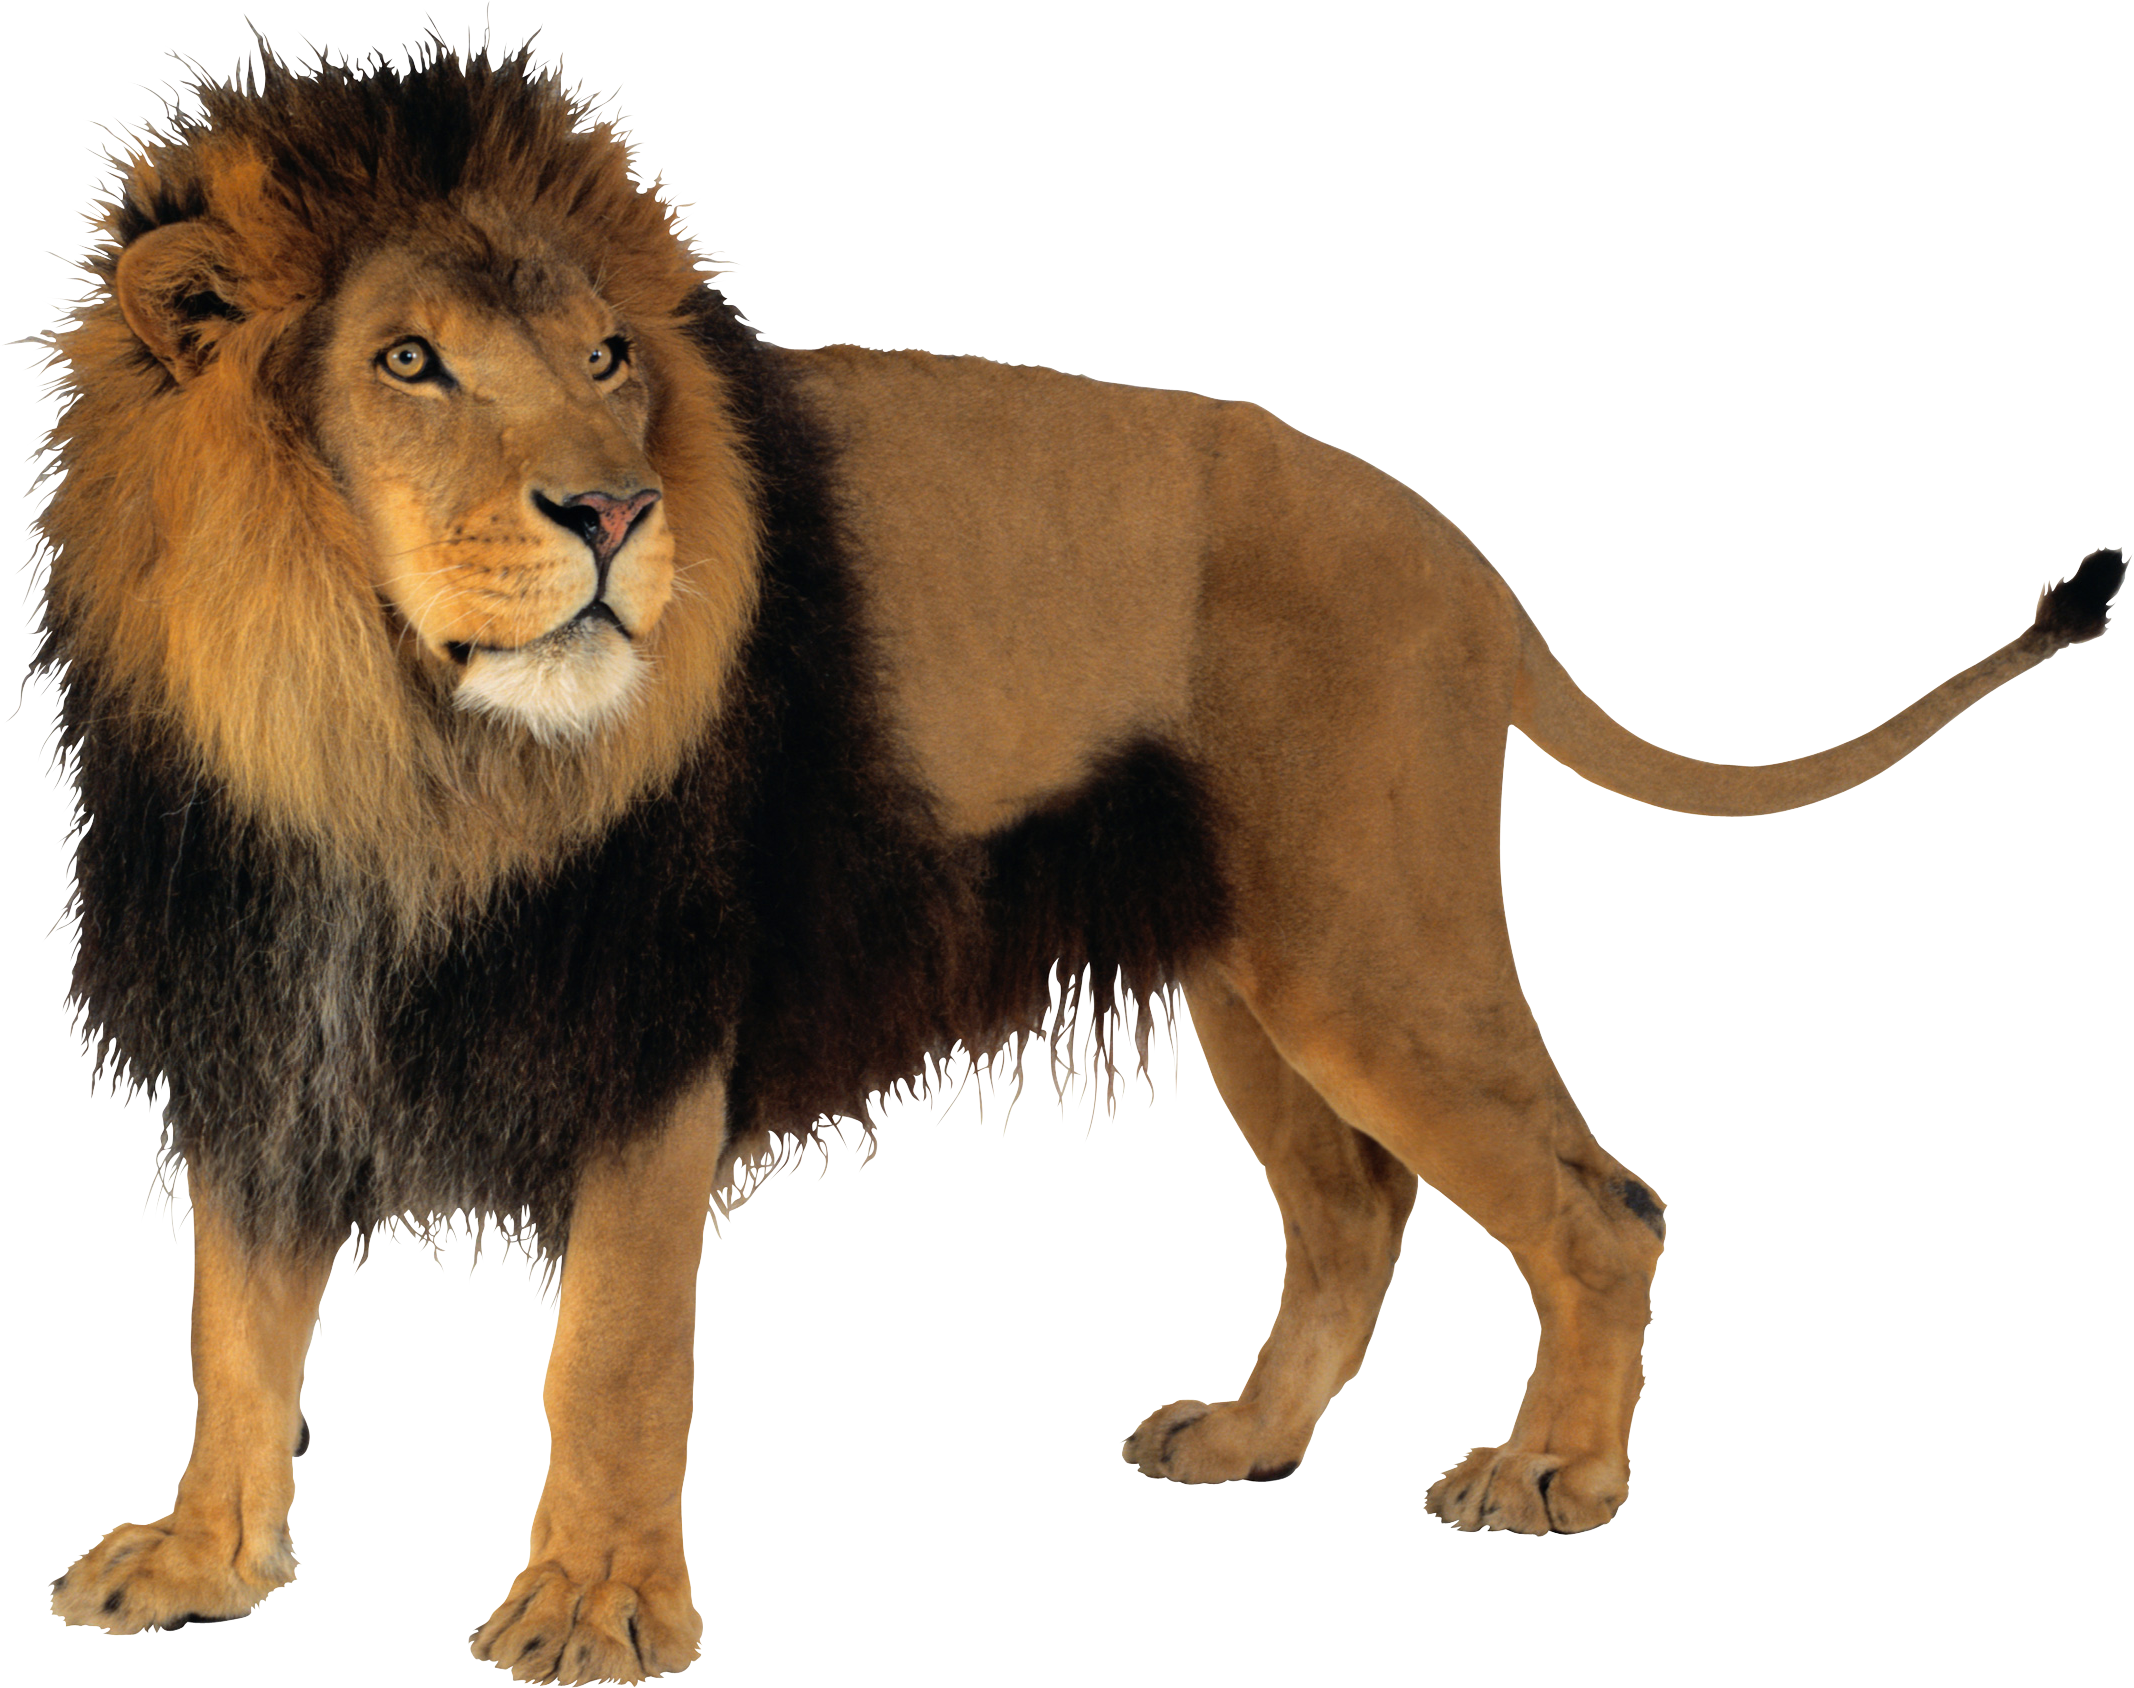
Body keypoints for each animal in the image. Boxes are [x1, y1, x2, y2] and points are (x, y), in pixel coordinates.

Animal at [33, 43, 2119, 1685]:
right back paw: (1247, 1438)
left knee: (1596, 1199)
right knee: (1351, 1209)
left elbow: (610, 1355)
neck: (378, 741)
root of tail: (1460, 556)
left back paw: (1553, 1477)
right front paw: (202, 1561)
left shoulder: (653, 1029)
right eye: (407, 361)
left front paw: (595, 1610)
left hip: (1371, 939)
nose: (614, 511)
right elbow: (231, 1332)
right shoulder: (267, 1027)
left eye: (609, 356)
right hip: (1255, 973)